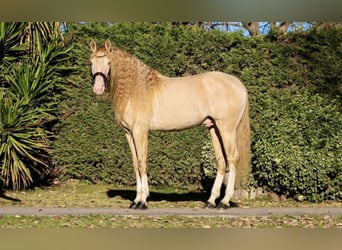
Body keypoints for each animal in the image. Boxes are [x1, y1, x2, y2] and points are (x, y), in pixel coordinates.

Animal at [89, 39, 250, 210]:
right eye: (91, 62)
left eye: (108, 62)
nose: (98, 88)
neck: (136, 88)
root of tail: (238, 84)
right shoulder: (129, 133)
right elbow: (135, 163)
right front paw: (136, 200)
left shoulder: (140, 131)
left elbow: (141, 162)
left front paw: (142, 201)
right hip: (214, 128)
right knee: (221, 161)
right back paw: (211, 201)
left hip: (227, 129)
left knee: (232, 158)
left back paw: (224, 202)